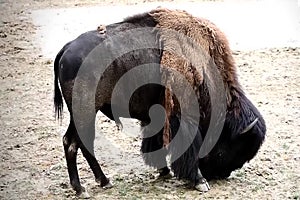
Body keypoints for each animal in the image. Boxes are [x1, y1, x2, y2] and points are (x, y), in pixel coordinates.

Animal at [53, 8, 264, 197]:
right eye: (234, 147)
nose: (220, 175)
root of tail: (66, 48)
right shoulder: (183, 116)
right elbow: (188, 147)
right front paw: (200, 181)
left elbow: (156, 141)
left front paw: (164, 171)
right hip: (85, 112)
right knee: (73, 142)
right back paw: (82, 189)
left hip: (83, 114)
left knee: (79, 142)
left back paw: (103, 182)